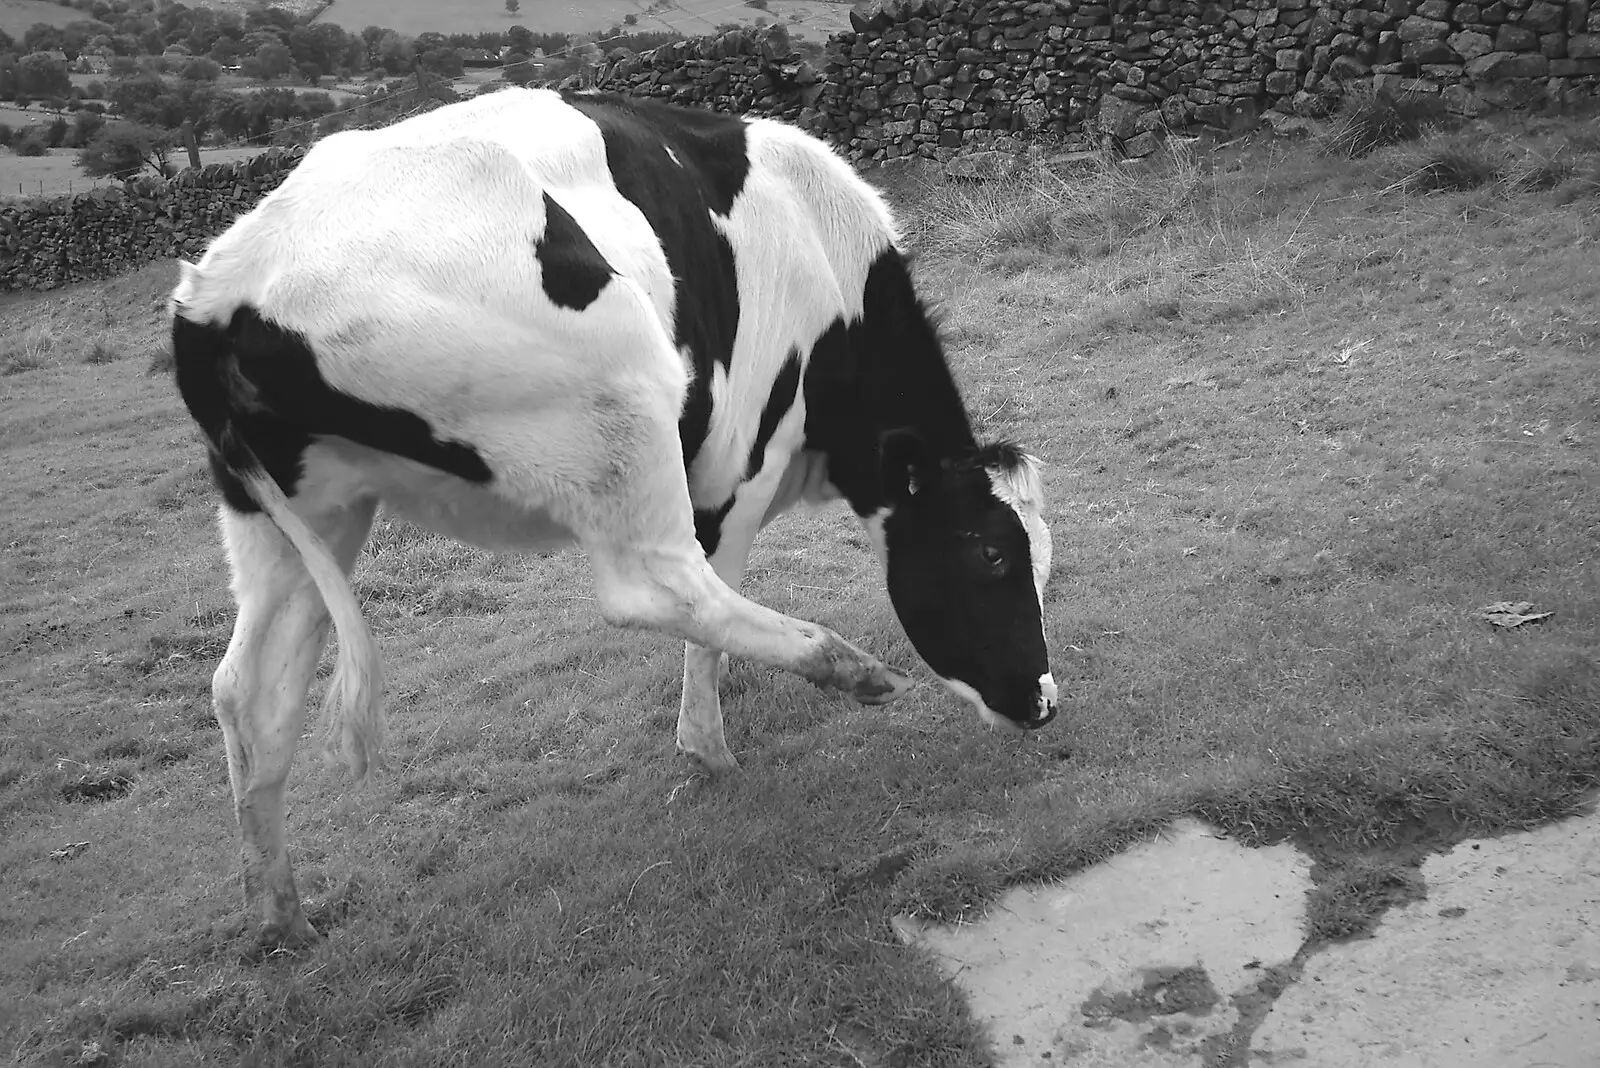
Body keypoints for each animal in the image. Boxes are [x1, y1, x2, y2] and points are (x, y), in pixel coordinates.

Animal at [172, 89, 1049, 940]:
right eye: (991, 554)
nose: (1042, 700)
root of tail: (228, 284)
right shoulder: (743, 459)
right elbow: (711, 608)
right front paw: (706, 751)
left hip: (302, 510)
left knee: (248, 691)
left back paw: (280, 914)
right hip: (622, 387)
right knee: (654, 589)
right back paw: (845, 665)